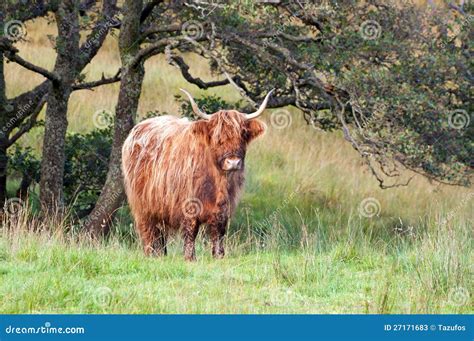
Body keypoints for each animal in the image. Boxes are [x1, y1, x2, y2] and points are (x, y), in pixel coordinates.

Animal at [122, 89, 272, 258]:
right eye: (217, 137)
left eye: (243, 134)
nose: (233, 162)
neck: (217, 180)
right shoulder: (189, 204)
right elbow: (191, 231)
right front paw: (190, 257)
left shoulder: (223, 208)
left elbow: (218, 233)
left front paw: (219, 256)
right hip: (142, 204)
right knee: (148, 230)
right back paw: (152, 255)